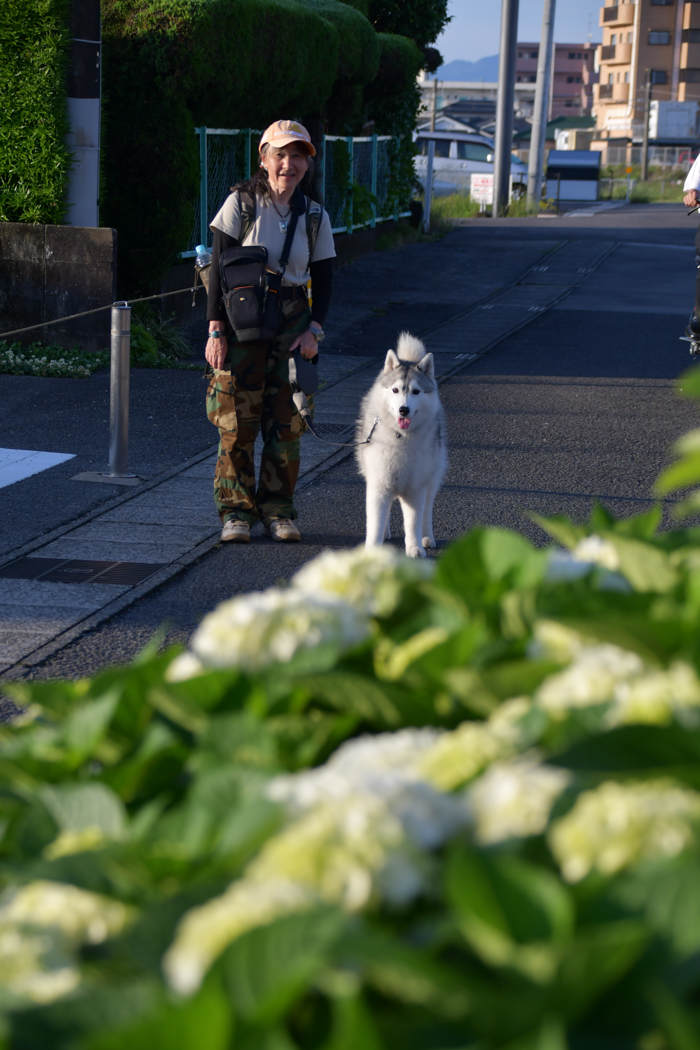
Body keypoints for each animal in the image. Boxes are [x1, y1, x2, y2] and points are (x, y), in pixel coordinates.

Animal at [356, 333, 449, 558]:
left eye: (416, 391)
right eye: (395, 390)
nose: (404, 409)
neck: (400, 438)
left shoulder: (416, 488)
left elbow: (413, 521)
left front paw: (414, 547)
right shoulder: (379, 485)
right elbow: (375, 523)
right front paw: (373, 549)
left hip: (431, 479)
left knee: (426, 512)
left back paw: (427, 537)